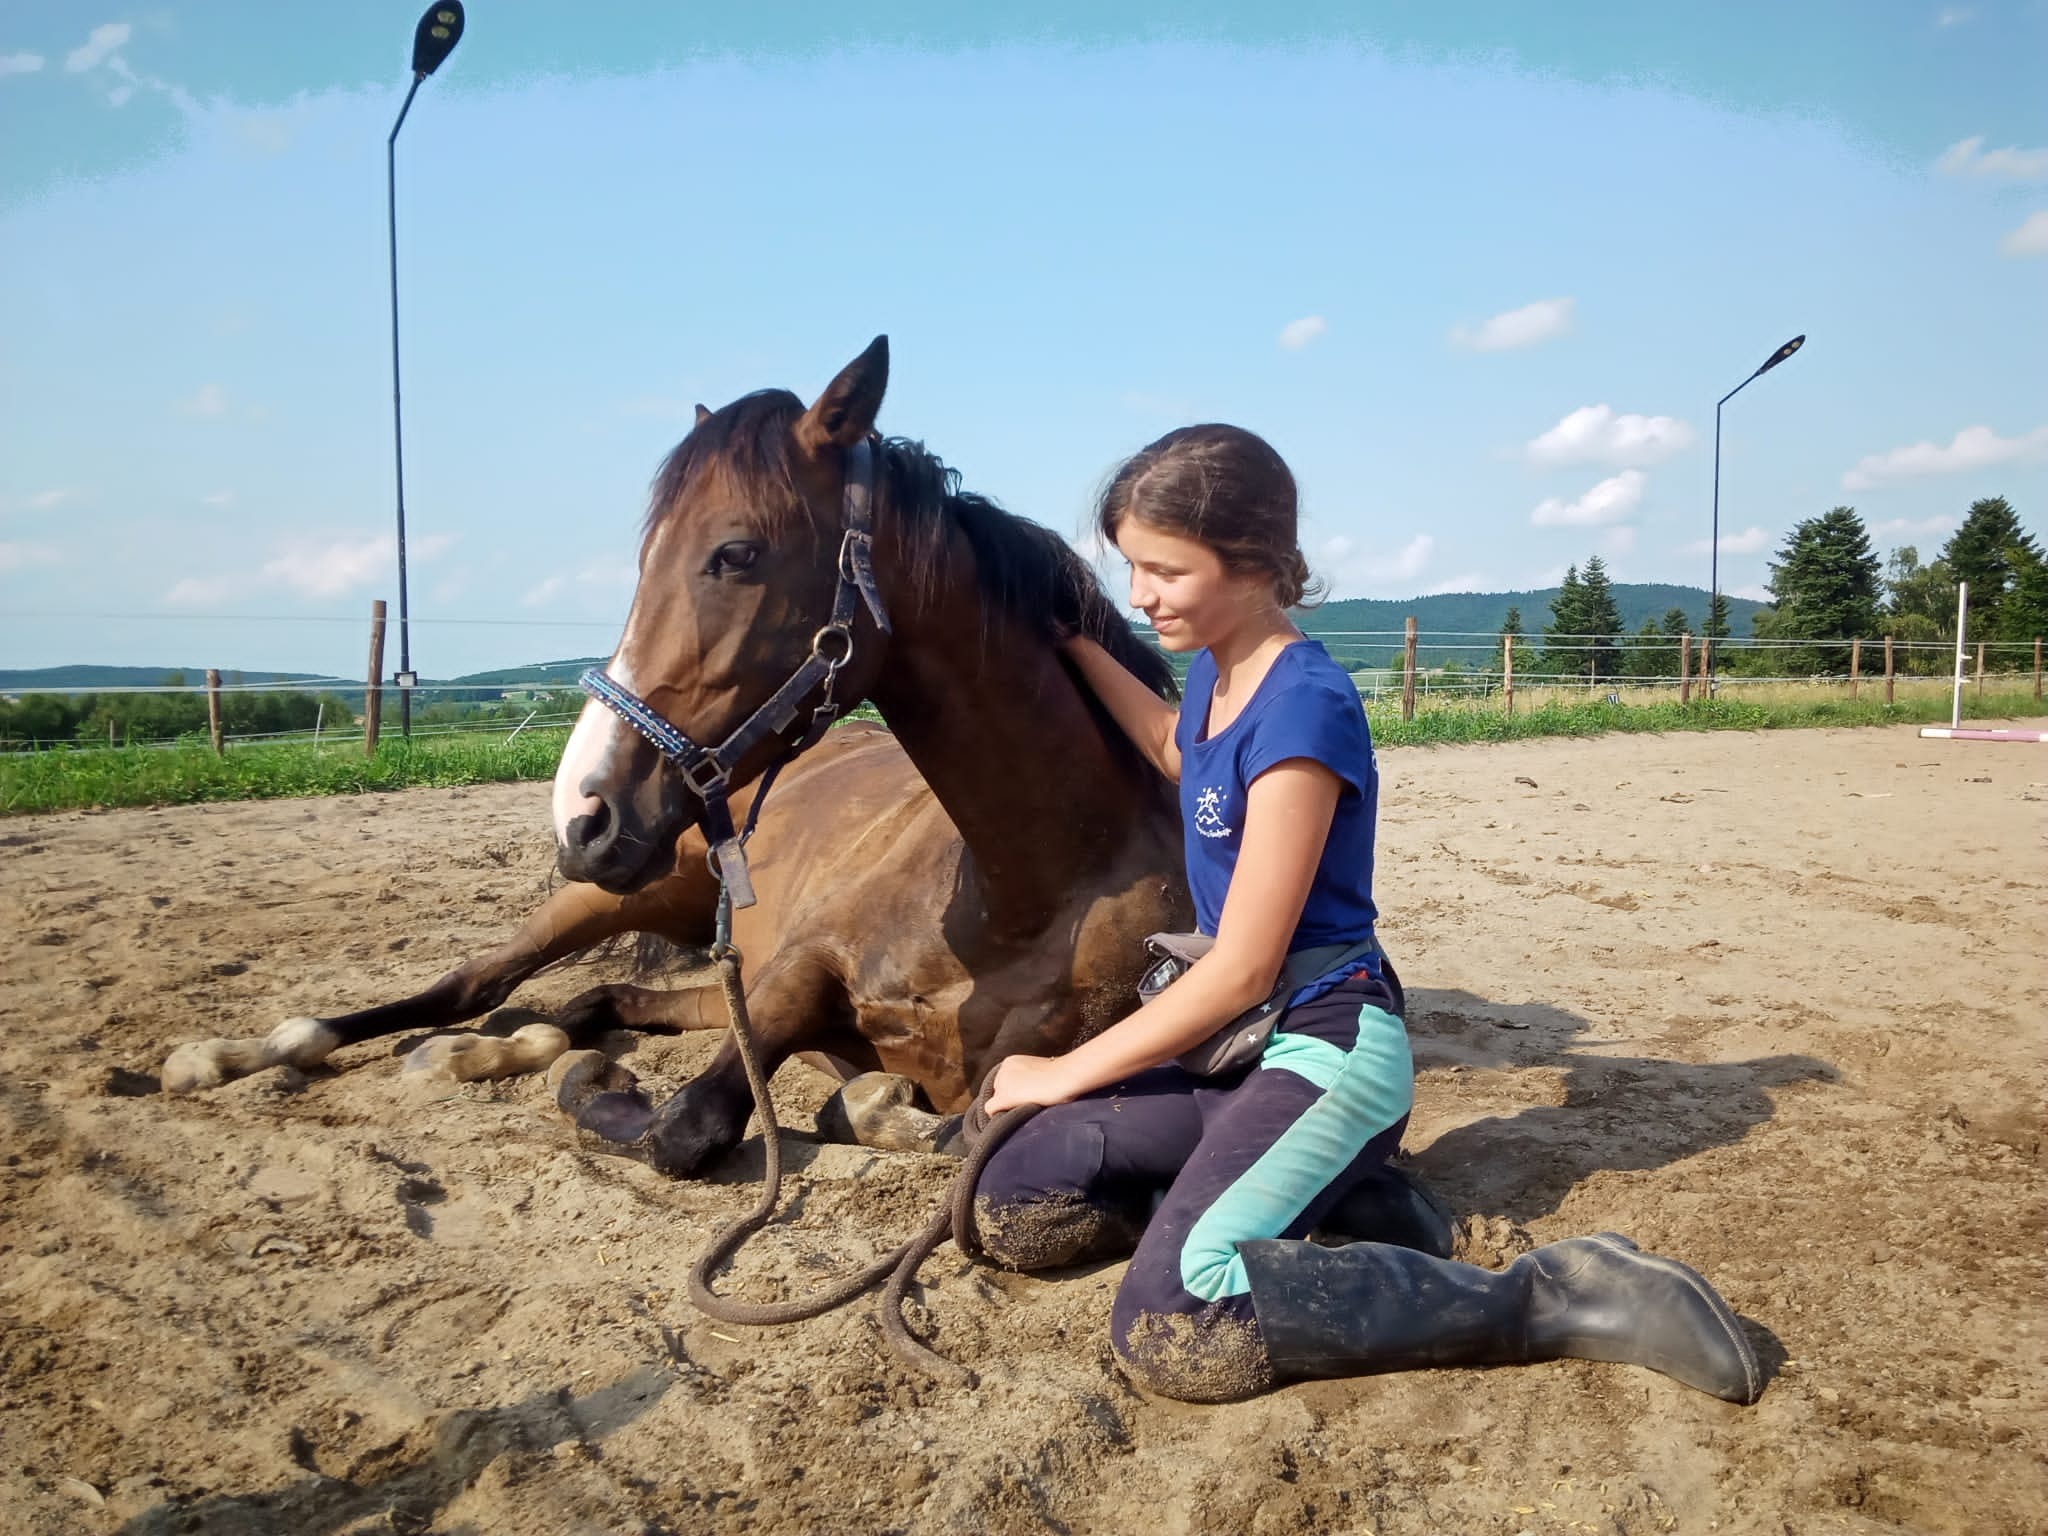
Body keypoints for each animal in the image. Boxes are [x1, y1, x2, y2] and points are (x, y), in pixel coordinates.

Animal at [164, 336, 1193, 1178]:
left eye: (734, 553)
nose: (582, 809)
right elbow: (682, 1125)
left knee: (593, 999)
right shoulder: (796, 972)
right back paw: (247, 1051)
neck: (1019, 892)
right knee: (476, 983)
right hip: (616, 890)